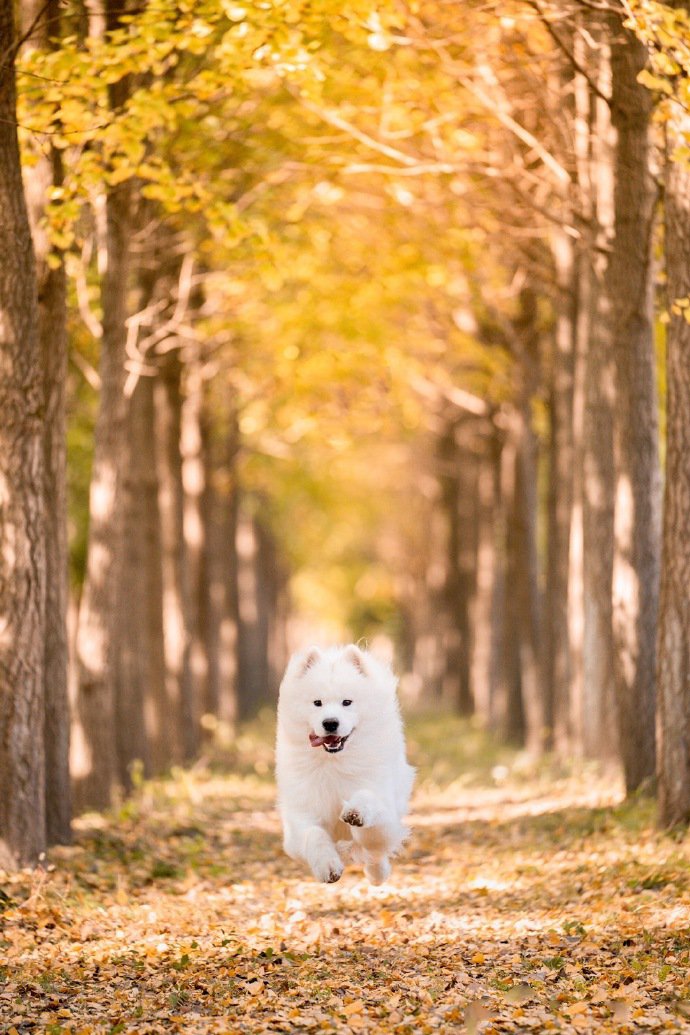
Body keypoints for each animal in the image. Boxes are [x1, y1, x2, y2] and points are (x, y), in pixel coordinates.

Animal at [275, 645, 415, 881]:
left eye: (346, 702)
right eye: (317, 703)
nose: (330, 723)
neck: (334, 762)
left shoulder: (386, 813)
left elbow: (369, 812)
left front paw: (356, 812)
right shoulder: (299, 822)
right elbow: (314, 835)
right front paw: (327, 866)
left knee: (375, 855)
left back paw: (378, 874)